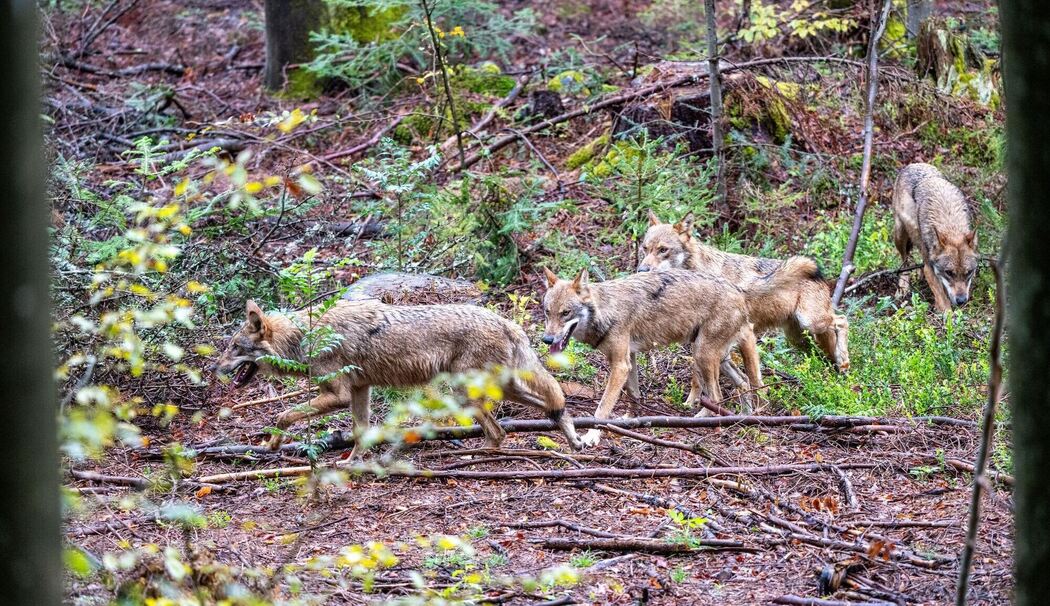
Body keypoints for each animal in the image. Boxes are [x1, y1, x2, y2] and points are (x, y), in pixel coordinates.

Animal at [215, 299, 585, 452]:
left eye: (234, 347)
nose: (213, 369)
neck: (304, 337)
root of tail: (508, 323)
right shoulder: (360, 391)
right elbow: (360, 435)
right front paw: (352, 465)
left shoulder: (338, 396)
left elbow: (282, 415)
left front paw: (273, 442)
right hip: (503, 388)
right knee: (554, 405)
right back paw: (574, 441)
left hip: (466, 394)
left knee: (498, 432)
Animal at [541, 267, 764, 446]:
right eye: (547, 312)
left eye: (566, 313)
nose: (547, 339)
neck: (606, 310)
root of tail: (740, 293)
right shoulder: (629, 360)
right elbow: (634, 395)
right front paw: (631, 420)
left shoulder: (620, 365)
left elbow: (602, 408)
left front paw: (592, 436)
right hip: (715, 357)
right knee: (743, 382)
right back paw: (743, 418)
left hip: (702, 355)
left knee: (717, 396)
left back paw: (701, 420)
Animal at [638, 211, 850, 373]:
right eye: (645, 249)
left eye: (663, 250)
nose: (641, 270)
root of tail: (822, 280)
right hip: (799, 338)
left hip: (811, 323)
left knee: (842, 320)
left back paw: (844, 361)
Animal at [892, 163, 979, 312]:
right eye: (949, 273)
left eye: (968, 272)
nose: (961, 301)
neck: (949, 222)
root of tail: (913, 165)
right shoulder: (930, 268)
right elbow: (943, 299)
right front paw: (947, 313)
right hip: (900, 235)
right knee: (905, 261)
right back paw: (903, 286)